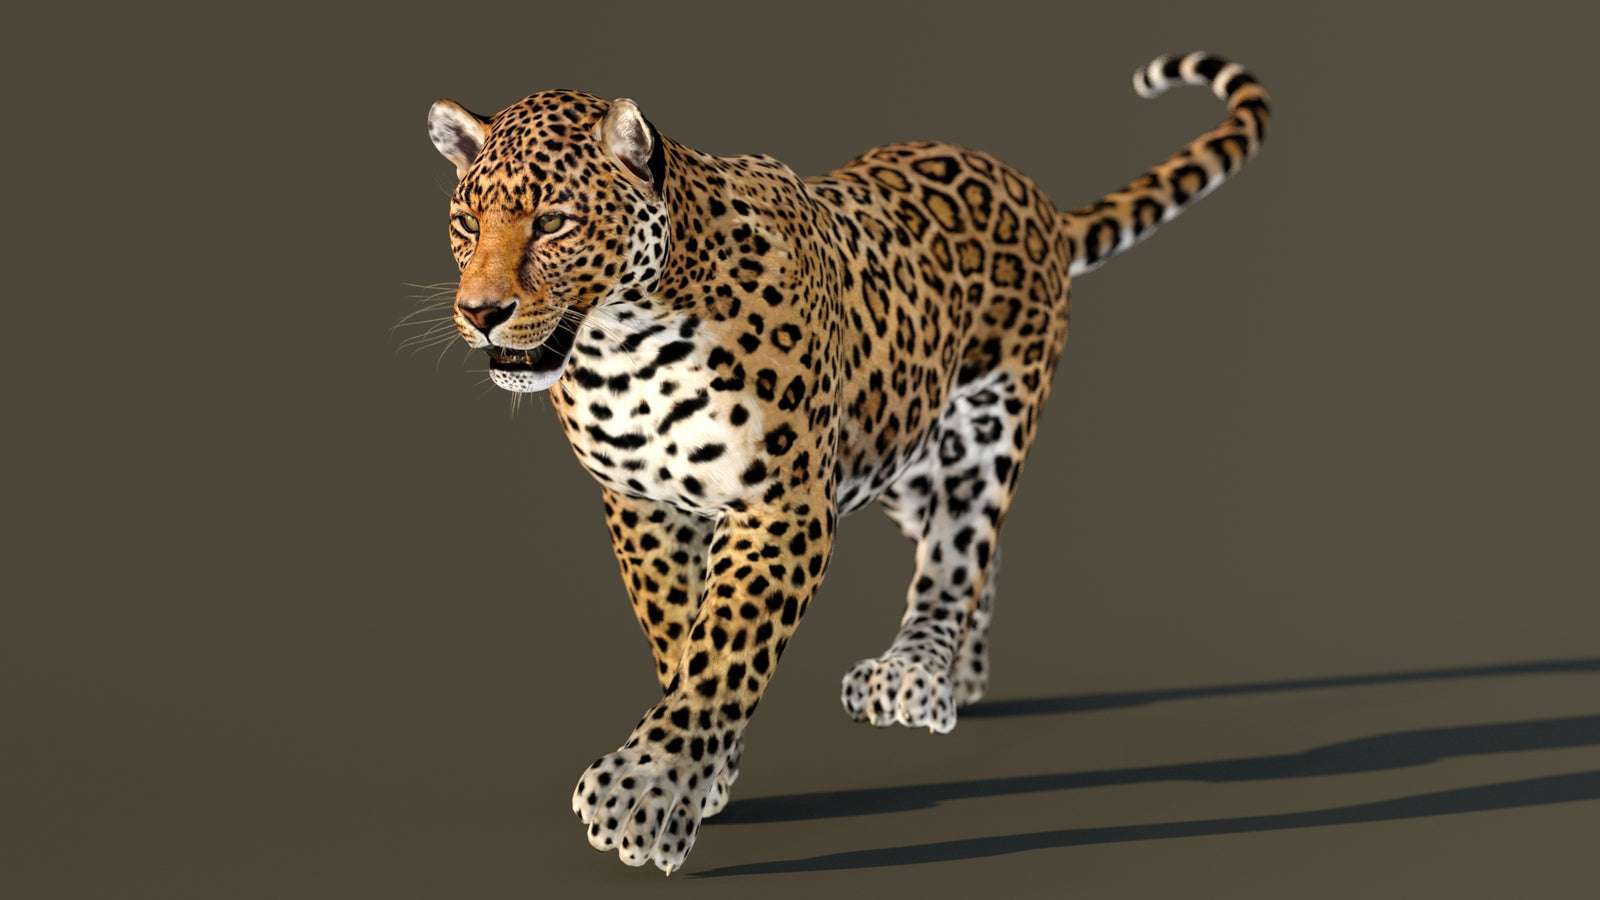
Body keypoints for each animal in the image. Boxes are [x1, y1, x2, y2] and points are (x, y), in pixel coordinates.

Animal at [421, 51, 1270, 874]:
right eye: (465, 222)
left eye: (554, 222)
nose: (480, 312)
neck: (622, 346)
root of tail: (1030, 193)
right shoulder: (642, 504)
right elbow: (676, 631)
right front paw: (709, 771)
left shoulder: (783, 505)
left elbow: (724, 647)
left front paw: (649, 791)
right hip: (901, 443)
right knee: (968, 547)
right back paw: (963, 673)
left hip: (987, 424)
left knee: (959, 550)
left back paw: (917, 671)